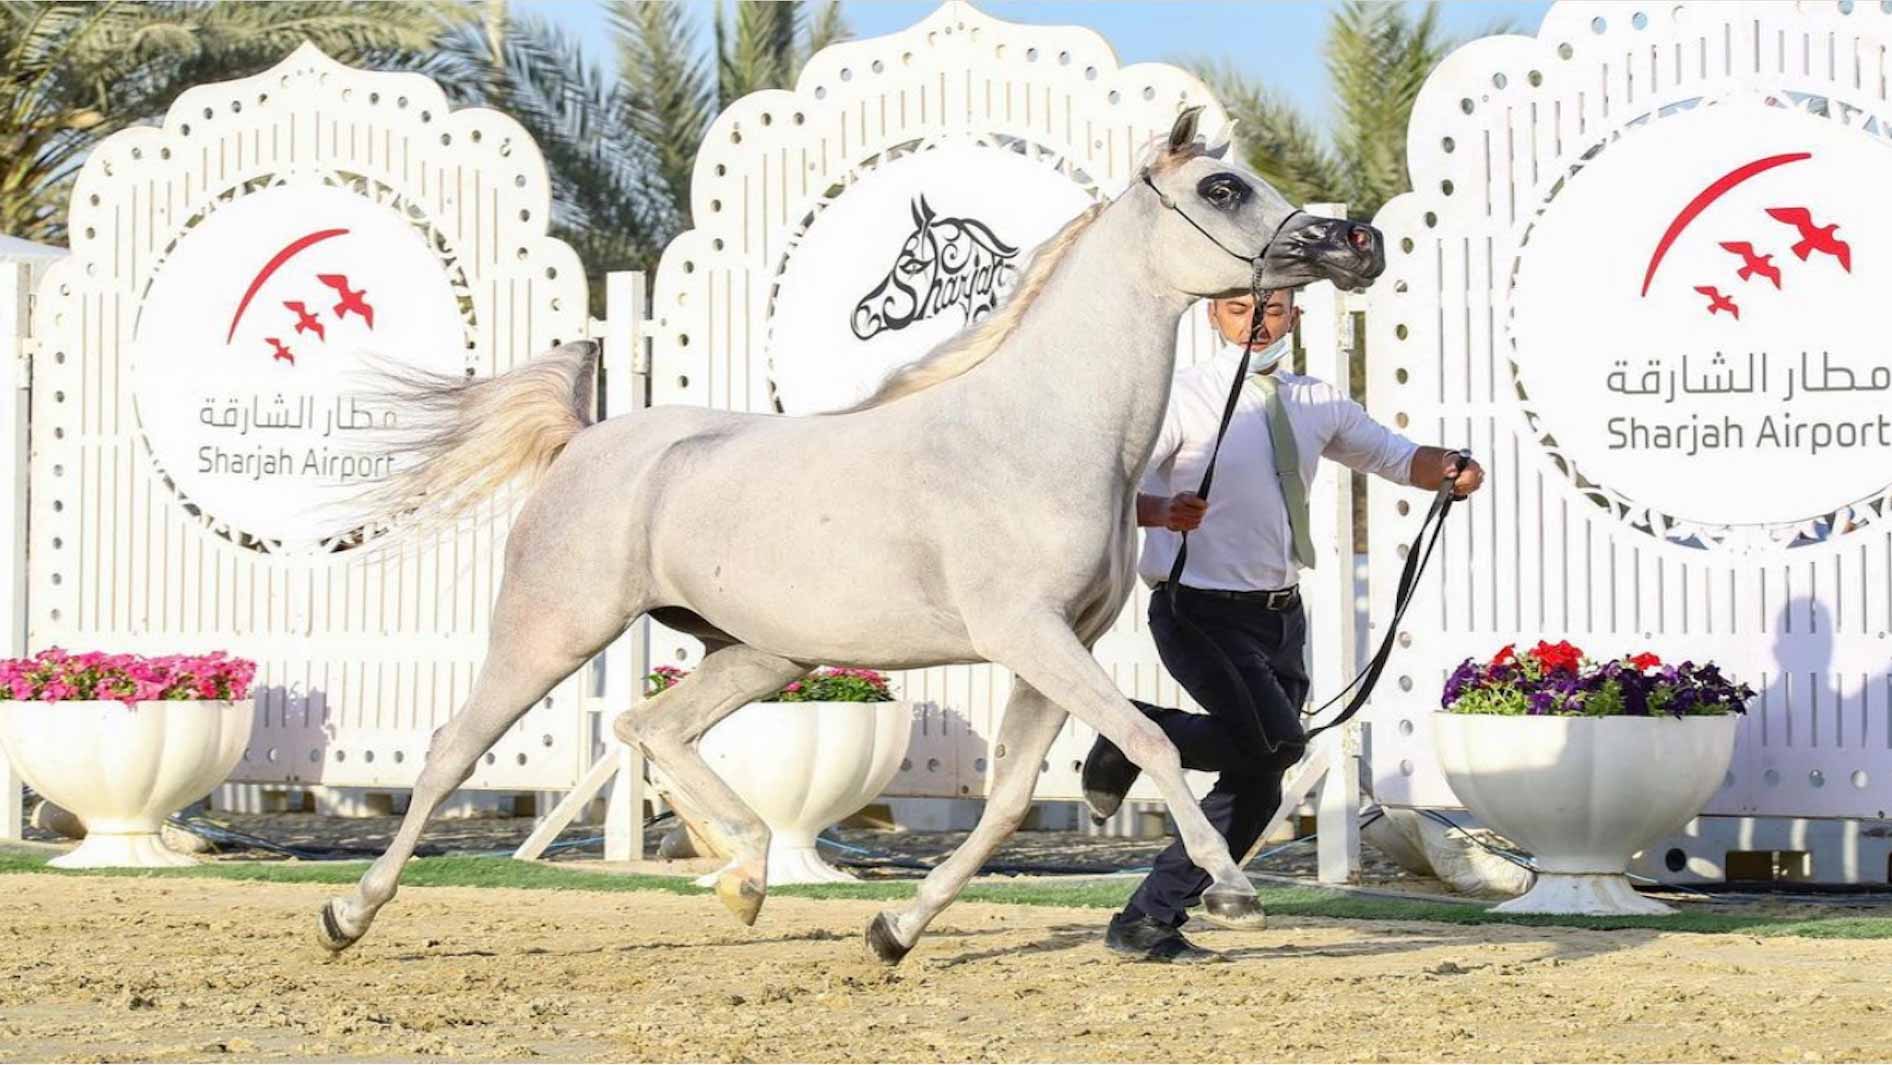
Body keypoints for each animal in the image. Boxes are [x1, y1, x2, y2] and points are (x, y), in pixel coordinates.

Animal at [317, 110, 1384, 968]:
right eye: (1222, 188)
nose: (1355, 243)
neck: (1039, 430)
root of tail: (585, 438)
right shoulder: (1028, 634)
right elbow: (1150, 738)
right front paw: (1235, 893)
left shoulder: (1055, 646)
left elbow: (1009, 798)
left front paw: (893, 931)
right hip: (552, 629)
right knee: (454, 751)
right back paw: (348, 914)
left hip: (761, 651)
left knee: (651, 727)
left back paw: (747, 880)